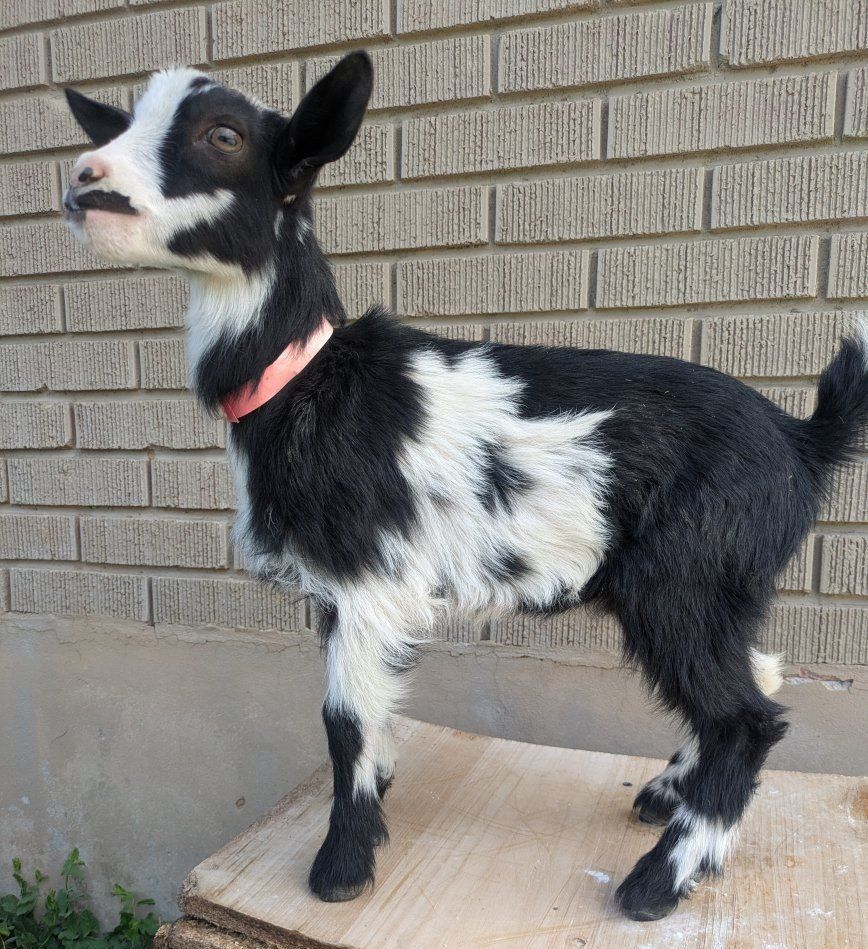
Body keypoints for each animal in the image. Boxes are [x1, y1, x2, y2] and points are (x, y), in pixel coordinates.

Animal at [63, 53, 868, 921]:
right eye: (122, 120)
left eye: (224, 135)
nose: (84, 179)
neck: (308, 379)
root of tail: (802, 439)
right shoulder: (344, 595)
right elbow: (374, 705)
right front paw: (379, 788)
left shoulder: (367, 576)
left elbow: (344, 717)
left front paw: (342, 866)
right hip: (725, 585)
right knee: (757, 671)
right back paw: (665, 795)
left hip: (685, 576)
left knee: (747, 717)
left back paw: (657, 880)